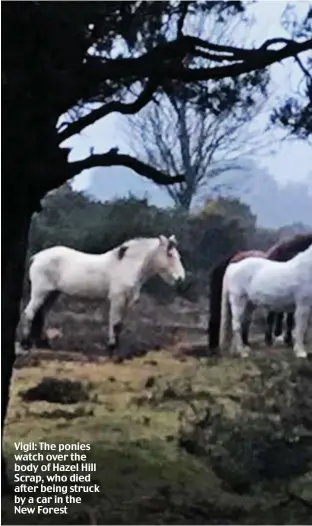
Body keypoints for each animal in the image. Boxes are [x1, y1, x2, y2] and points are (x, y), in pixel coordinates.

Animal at [21, 235, 185, 354]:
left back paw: (42, 344)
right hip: (40, 292)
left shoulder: (125, 301)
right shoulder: (118, 299)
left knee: (42, 315)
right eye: (170, 254)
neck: (127, 264)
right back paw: (25, 344)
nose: (180, 278)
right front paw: (112, 348)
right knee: (30, 313)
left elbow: (119, 324)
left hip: (52, 294)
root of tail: (37, 257)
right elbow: (115, 323)